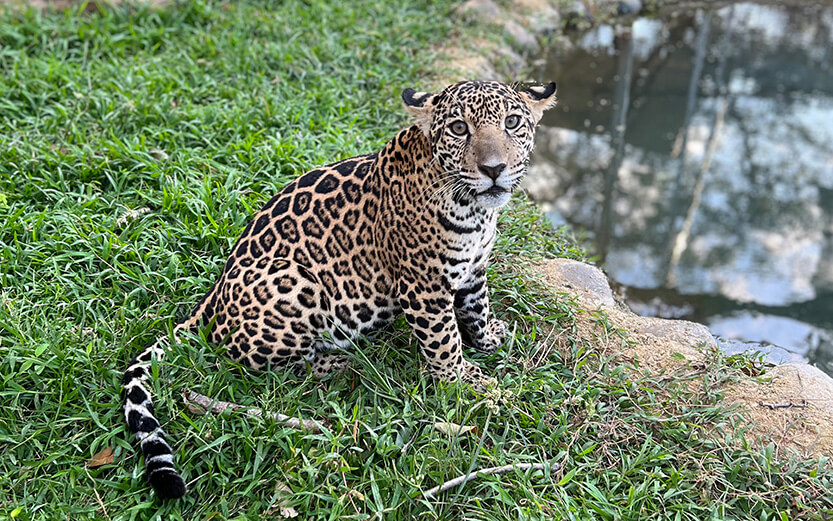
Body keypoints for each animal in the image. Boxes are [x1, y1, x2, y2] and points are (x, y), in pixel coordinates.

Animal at [122, 80, 557, 499]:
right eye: (458, 128)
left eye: (512, 123)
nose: (494, 168)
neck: (476, 210)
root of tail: (211, 299)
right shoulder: (422, 286)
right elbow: (444, 339)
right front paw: (464, 381)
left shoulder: (472, 267)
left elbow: (477, 305)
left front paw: (488, 338)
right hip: (294, 281)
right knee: (262, 363)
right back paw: (333, 363)